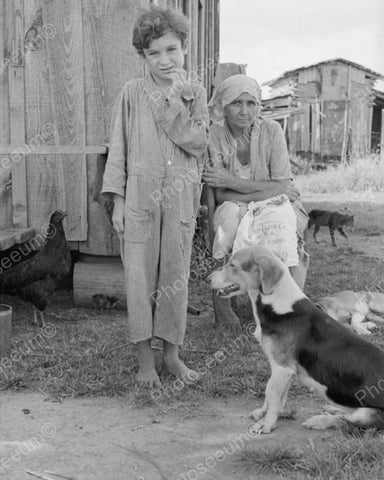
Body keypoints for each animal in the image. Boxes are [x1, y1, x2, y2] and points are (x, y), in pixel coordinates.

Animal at [212, 248, 384, 436]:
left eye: (232, 265)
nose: (208, 277)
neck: (277, 304)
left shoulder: (282, 368)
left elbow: (272, 394)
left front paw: (267, 424)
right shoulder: (283, 370)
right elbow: (272, 394)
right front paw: (265, 413)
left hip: (367, 414)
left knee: (347, 422)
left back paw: (320, 420)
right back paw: (332, 409)